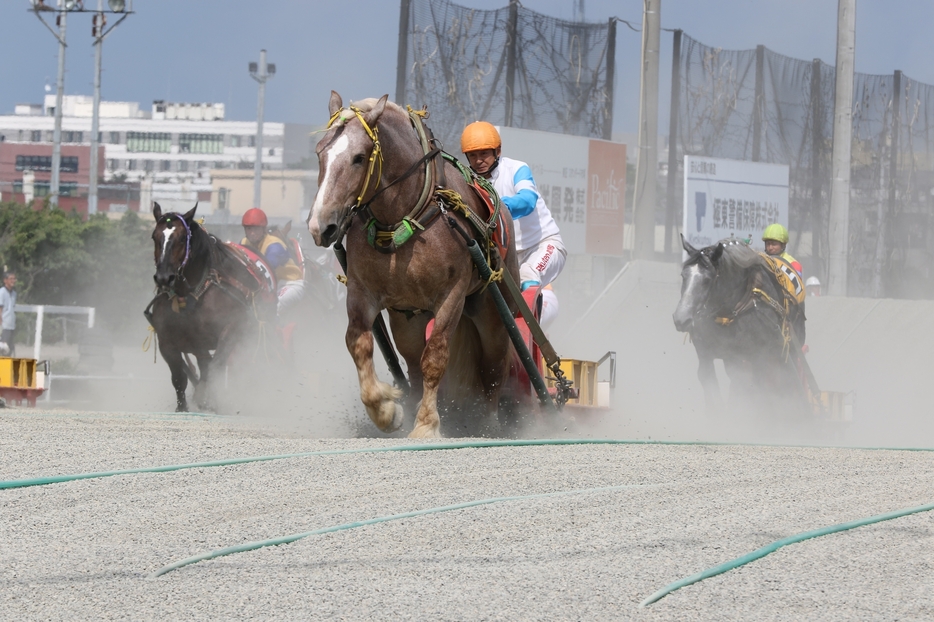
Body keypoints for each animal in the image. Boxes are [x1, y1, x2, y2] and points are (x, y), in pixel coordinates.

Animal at [147, 202, 278, 412]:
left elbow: (215, 368)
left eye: (182, 238)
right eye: (155, 236)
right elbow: (179, 377)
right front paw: (182, 407)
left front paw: (208, 399)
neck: (190, 296)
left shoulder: (231, 329)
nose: (164, 278)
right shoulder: (167, 342)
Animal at [310, 92, 524, 442]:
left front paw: (426, 424)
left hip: (494, 309)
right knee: (412, 361)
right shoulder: (362, 291)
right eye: (320, 153)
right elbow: (358, 343)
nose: (320, 226)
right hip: (407, 319)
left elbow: (435, 358)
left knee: (495, 364)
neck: (405, 216)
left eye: (358, 158)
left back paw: (488, 422)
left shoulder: (452, 296)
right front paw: (385, 410)